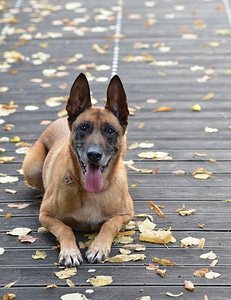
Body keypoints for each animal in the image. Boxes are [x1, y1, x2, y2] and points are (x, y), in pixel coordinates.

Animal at [22, 72, 134, 264]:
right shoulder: (45, 215)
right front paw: (70, 251)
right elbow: (65, 228)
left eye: (110, 130)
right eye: (83, 128)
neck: (91, 194)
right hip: (32, 169)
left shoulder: (127, 214)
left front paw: (98, 247)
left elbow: (109, 224)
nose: (94, 155)